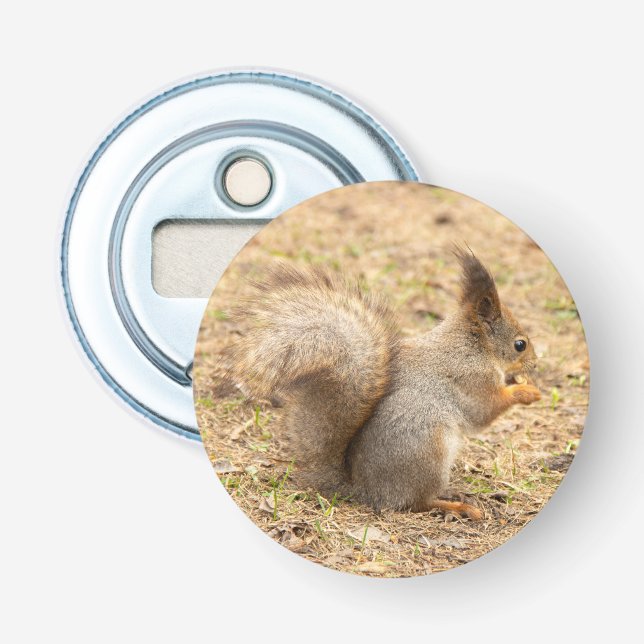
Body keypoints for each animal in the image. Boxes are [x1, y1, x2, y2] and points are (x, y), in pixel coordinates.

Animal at [226, 247, 540, 520]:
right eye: (520, 344)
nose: (535, 365)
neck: (473, 346)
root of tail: (367, 491)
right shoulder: (472, 379)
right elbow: (484, 411)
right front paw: (526, 391)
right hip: (428, 450)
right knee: (416, 503)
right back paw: (457, 506)